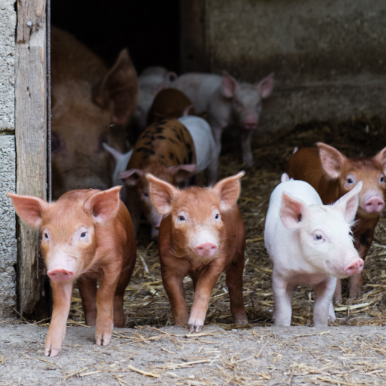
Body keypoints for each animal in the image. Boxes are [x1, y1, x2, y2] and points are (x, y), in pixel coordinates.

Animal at [7, 187, 137, 356]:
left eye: (83, 233)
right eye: (46, 235)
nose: (60, 268)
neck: (92, 263)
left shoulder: (114, 262)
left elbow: (104, 295)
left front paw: (102, 342)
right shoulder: (52, 269)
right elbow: (61, 303)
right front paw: (50, 352)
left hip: (129, 262)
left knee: (118, 294)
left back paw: (120, 324)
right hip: (84, 279)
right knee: (88, 299)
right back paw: (90, 324)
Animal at [148, 172, 247, 332]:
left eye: (216, 216)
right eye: (181, 217)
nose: (206, 243)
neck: (193, 261)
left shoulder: (218, 260)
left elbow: (203, 289)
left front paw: (195, 328)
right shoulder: (167, 265)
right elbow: (176, 297)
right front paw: (181, 325)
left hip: (239, 251)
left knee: (235, 284)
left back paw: (242, 323)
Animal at [264, 178, 364, 326]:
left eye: (349, 233)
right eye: (318, 236)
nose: (356, 261)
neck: (308, 273)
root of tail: (291, 180)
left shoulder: (329, 279)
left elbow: (320, 309)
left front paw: (324, 323)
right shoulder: (280, 275)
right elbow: (284, 310)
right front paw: (280, 324)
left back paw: (332, 318)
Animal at [286, 143, 386, 300]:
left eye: (381, 178)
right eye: (350, 180)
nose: (374, 198)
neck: (357, 222)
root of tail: (299, 151)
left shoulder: (369, 231)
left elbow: (360, 255)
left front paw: (355, 297)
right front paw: (337, 300)